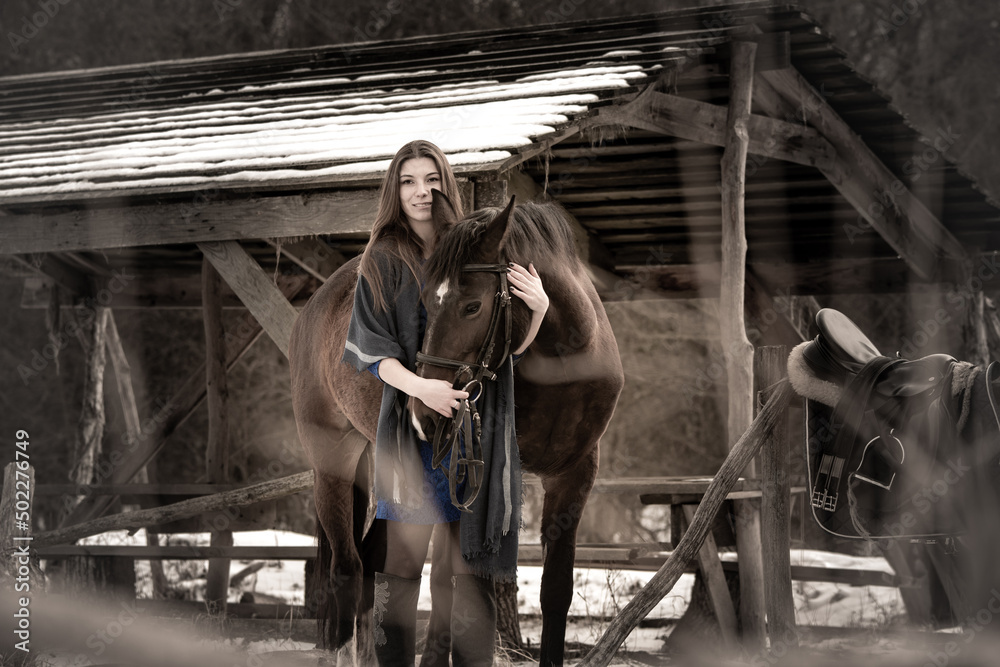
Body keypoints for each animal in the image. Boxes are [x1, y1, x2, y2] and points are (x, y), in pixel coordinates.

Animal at [286, 190, 620, 664]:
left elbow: (555, 591)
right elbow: (462, 586)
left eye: (472, 306)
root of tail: (316, 306)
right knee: (347, 567)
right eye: (425, 302)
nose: (424, 413)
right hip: (332, 462)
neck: (564, 358)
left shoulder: (574, 475)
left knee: (374, 563)